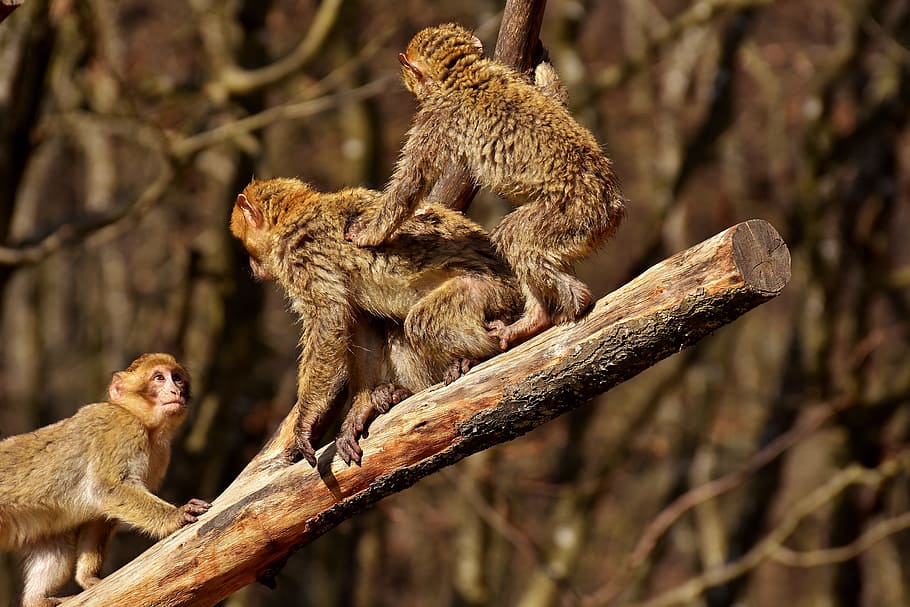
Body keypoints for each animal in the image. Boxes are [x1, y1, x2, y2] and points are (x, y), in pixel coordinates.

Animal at [0, 353, 211, 607]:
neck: (144, 424)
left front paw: (88, 578)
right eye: (159, 378)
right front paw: (176, 515)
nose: (175, 391)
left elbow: (99, 516)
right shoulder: (122, 430)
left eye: (177, 378)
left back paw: (38, 600)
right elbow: (107, 488)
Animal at [230, 177, 522, 467]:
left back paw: (479, 355)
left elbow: (328, 323)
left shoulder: (300, 257)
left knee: (421, 323)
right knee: (396, 328)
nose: (252, 266)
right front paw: (361, 408)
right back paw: (402, 392)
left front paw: (304, 422)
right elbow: (362, 324)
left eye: (247, 248)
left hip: (492, 293)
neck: (292, 216)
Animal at [345, 22, 626, 349]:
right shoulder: (504, 72)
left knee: (514, 236)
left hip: (574, 212)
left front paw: (370, 233)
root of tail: (612, 203)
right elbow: (555, 98)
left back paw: (557, 309)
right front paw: (541, 58)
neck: (465, 74)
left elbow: (411, 183)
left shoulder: (436, 117)